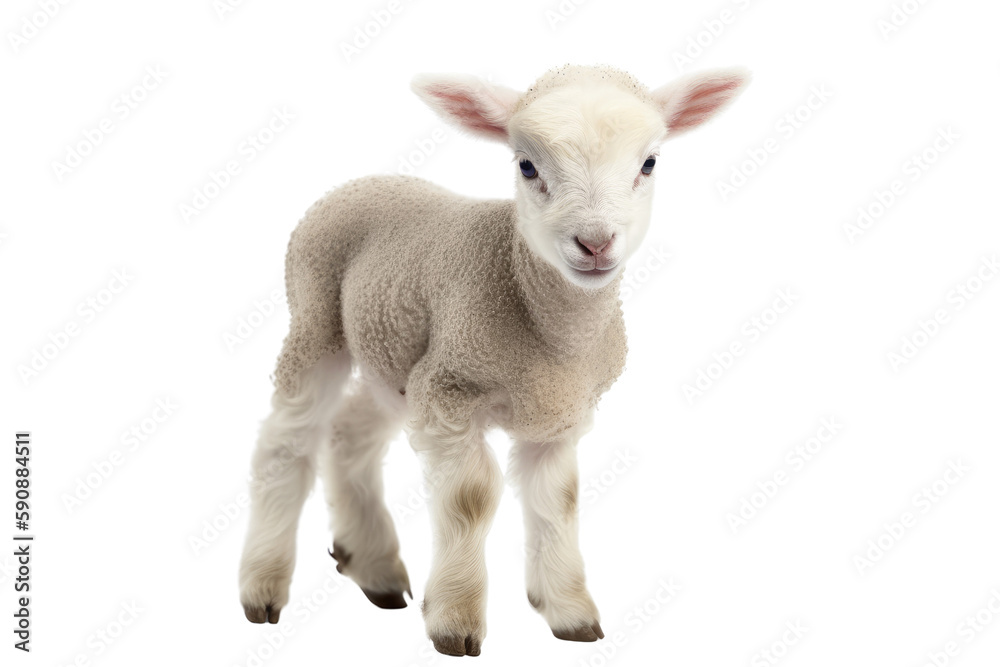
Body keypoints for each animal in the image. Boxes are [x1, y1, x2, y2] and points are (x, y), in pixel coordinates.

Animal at [238, 63, 749, 656]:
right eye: (526, 166)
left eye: (649, 163)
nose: (595, 243)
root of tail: (359, 183)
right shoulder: (448, 389)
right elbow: (471, 498)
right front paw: (455, 619)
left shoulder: (559, 414)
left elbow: (560, 501)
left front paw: (569, 613)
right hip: (317, 317)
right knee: (286, 439)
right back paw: (263, 585)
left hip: (394, 356)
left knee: (350, 431)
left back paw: (375, 570)